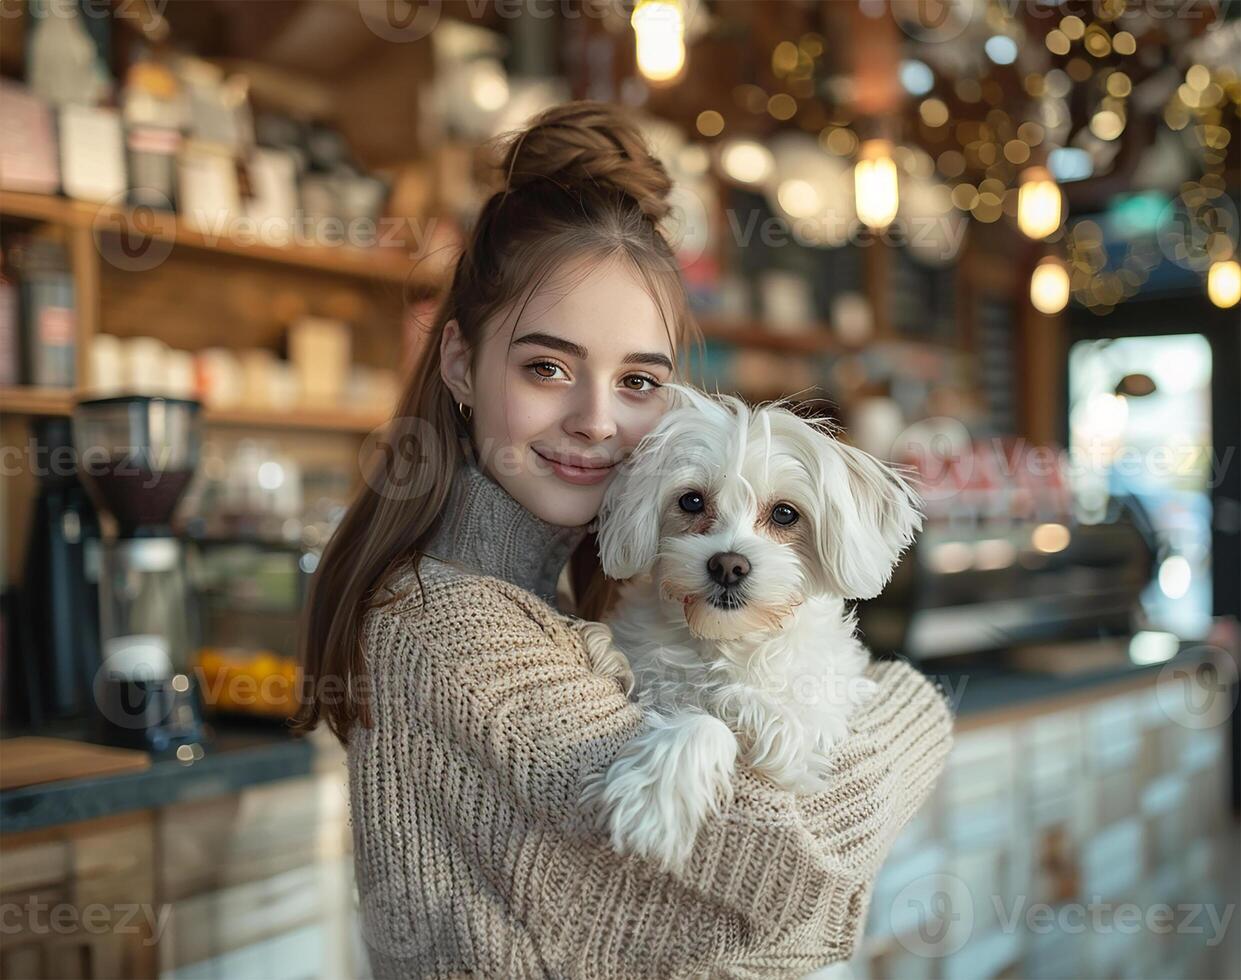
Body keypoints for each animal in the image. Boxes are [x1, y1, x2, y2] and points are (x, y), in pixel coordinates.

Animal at [575, 387, 918, 873]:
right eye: (692, 501)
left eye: (785, 514)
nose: (728, 565)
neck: (728, 640)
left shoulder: (807, 730)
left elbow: (728, 713)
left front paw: (655, 797)